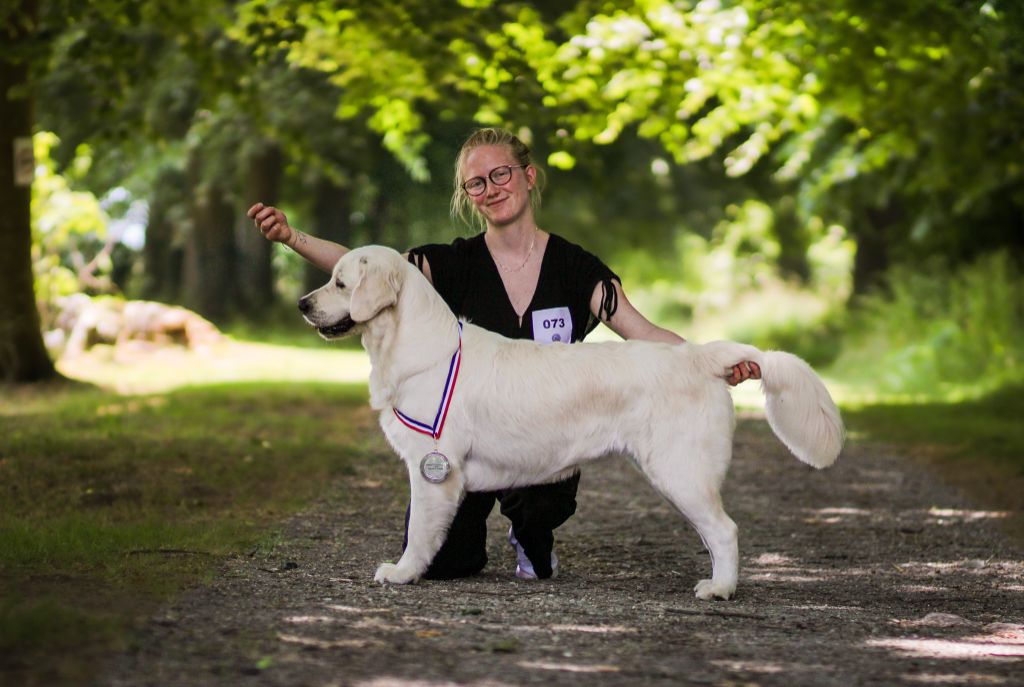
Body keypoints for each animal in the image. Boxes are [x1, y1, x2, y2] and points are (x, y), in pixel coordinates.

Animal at [299, 247, 843, 602]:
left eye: (340, 283)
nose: (303, 304)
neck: (415, 347)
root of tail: (701, 355)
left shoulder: (435, 467)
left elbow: (420, 532)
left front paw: (403, 572)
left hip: (680, 471)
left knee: (725, 531)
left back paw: (720, 589)